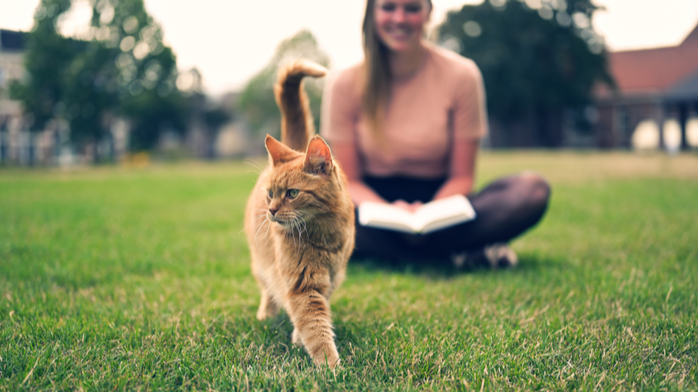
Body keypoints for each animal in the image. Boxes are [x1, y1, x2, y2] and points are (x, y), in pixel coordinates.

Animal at [243, 60, 354, 368]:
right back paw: (266, 315)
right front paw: (331, 366)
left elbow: (313, 320)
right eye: (271, 194)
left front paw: (299, 340)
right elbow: (315, 326)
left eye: (292, 193)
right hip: (262, 266)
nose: (271, 210)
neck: (325, 234)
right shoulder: (302, 285)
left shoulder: (330, 279)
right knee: (268, 291)